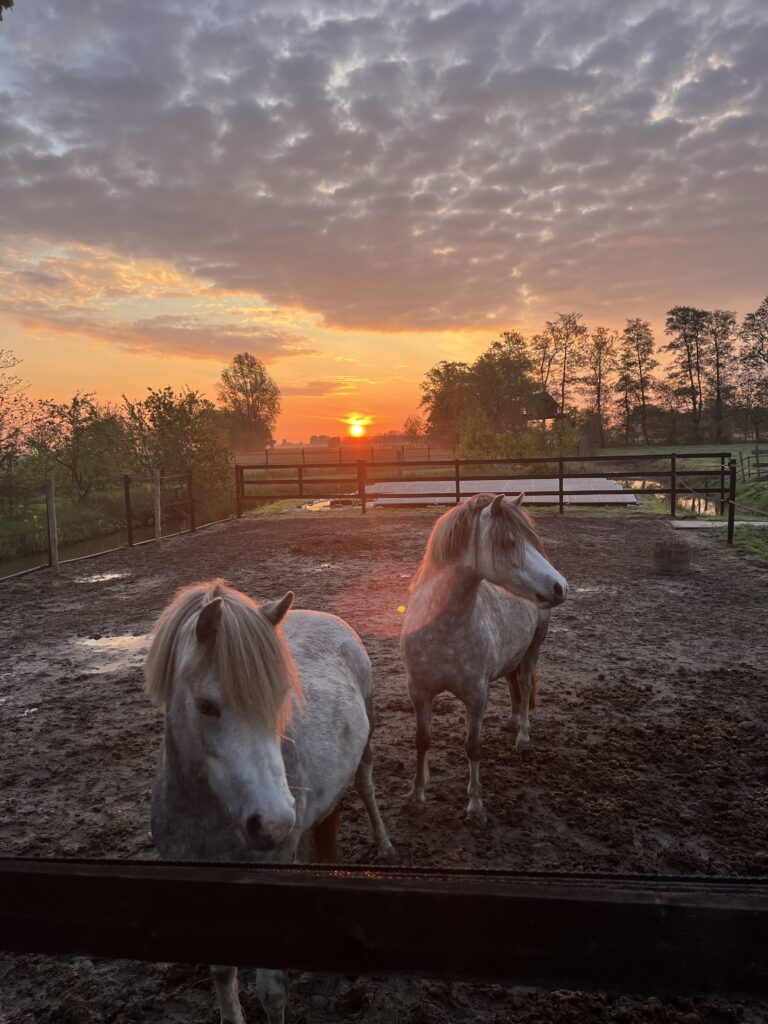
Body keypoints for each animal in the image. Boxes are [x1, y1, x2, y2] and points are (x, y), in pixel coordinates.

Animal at [145, 581, 397, 1019]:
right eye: (206, 705)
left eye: (280, 698)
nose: (275, 823)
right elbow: (222, 972)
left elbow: (272, 993)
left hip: (364, 752)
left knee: (366, 789)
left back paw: (384, 845)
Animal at [399, 493, 569, 823]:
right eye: (508, 542)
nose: (560, 586)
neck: (445, 629)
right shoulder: (419, 692)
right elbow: (422, 740)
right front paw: (416, 795)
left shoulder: (476, 697)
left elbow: (473, 747)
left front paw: (475, 807)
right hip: (512, 657)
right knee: (513, 686)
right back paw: (512, 721)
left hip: (533, 649)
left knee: (525, 686)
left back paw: (522, 736)